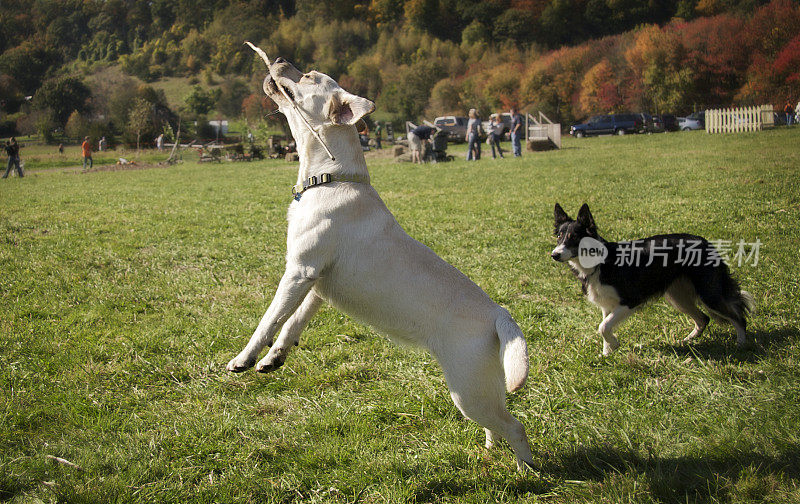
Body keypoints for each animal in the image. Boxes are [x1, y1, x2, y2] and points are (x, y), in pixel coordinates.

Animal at [225, 45, 536, 470]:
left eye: (308, 77)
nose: (281, 59)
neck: (331, 178)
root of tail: (499, 314)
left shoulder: (299, 272)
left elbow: (270, 319)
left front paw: (243, 358)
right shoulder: (317, 284)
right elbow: (293, 322)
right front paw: (274, 358)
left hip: (468, 392)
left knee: (516, 427)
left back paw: (527, 471)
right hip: (481, 386)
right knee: (499, 421)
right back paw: (490, 452)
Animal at [552, 204, 752, 354]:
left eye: (574, 237)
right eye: (559, 237)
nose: (554, 255)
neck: (599, 263)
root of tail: (704, 241)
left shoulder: (631, 299)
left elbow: (603, 327)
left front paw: (614, 345)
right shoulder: (607, 304)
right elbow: (604, 327)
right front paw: (607, 353)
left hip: (709, 294)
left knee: (738, 317)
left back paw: (741, 344)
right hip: (678, 296)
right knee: (703, 318)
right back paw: (687, 341)